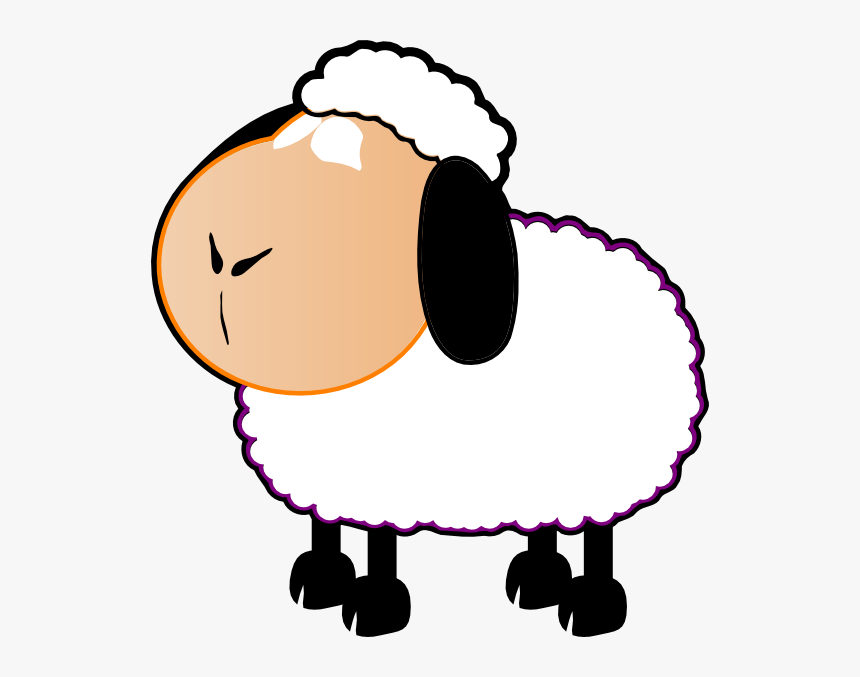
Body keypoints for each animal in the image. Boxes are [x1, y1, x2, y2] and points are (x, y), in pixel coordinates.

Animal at [152, 41, 707, 638]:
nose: (226, 257)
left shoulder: (384, 476)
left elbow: (378, 544)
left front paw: (373, 607)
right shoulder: (329, 474)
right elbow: (327, 527)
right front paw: (320, 582)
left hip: (606, 459)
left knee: (597, 532)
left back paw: (589, 607)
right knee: (546, 522)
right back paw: (535, 581)